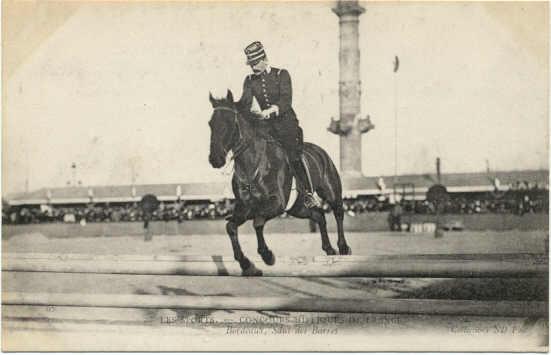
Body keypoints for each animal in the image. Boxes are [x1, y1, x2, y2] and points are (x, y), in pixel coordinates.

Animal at [209, 90, 352, 276]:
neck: (253, 167)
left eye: (228, 123)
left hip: (330, 190)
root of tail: (320, 151)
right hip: (298, 207)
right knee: (318, 215)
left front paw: (267, 255)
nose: (215, 159)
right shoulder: (245, 208)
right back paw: (328, 248)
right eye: (210, 124)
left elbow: (258, 222)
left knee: (338, 213)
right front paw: (246, 264)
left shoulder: (275, 204)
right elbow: (231, 227)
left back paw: (343, 247)